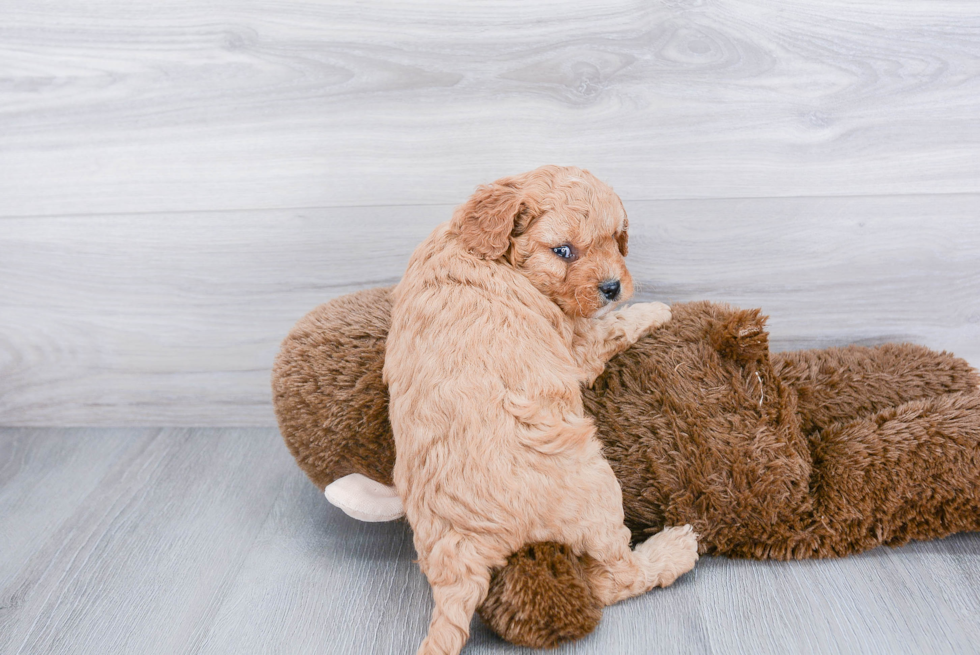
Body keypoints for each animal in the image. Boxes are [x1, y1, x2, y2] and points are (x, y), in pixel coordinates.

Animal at [382, 167, 696, 652]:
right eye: (563, 251)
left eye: (614, 238)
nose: (613, 288)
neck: (483, 249)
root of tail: (463, 552)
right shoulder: (577, 346)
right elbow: (615, 325)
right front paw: (657, 309)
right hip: (597, 489)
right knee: (616, 579)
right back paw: (674, 549)